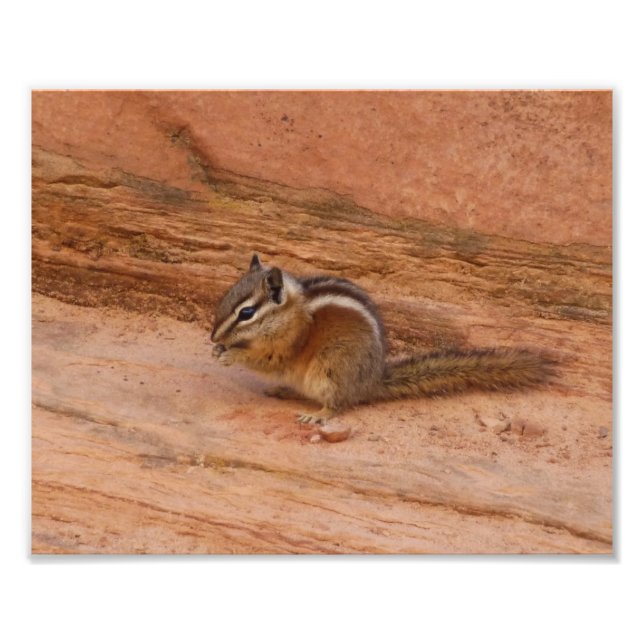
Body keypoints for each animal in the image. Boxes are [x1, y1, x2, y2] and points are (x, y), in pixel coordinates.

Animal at [211, 254, 553, 425]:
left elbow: (267, 360)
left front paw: (231, 354)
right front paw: (218, 349)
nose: (212, 335)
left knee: (338, 403)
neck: (290, 312)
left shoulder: (289, 344)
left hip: (331, 368)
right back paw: (283, 391)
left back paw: (318, 414)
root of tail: (371, 381)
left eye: (247, 313)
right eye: (226, 298)